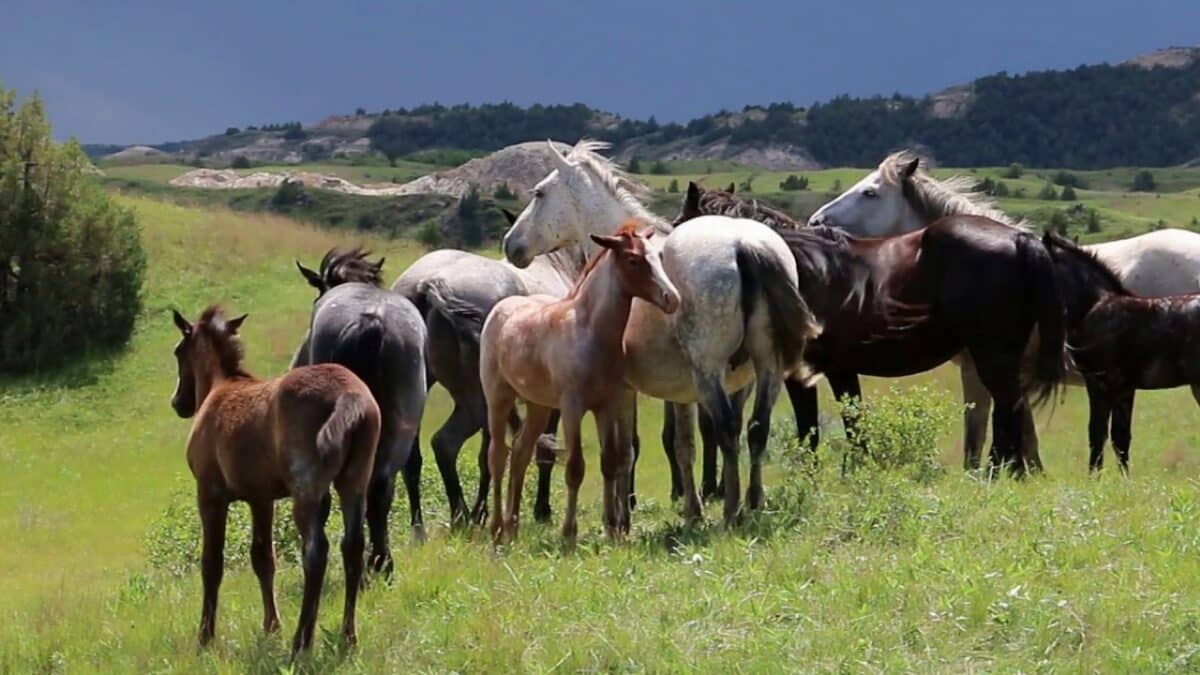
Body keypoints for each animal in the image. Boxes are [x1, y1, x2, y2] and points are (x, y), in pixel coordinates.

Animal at [170, 306, 379, 654]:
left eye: (177, 352)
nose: (178, 403)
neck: (219, 387)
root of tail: (349, 397)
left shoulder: (210, 494)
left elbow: (212, 563)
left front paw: (205, 637)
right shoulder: (262, 498)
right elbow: (263, 559)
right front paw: (271, 626)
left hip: (307, 490)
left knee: (316, 552)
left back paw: (302, 642)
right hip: (355, 482)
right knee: (352, 547)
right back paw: (348, 636)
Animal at [390, 212, 582, 525]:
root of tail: (430, 285)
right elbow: (539, 453)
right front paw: (541, 510)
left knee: (414, 457)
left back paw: (425, 520)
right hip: (477, 401)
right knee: (449, 444)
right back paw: (466, 514)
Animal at [480, 223, 680, 543]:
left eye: (658, 257)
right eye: (633, 260)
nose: (672, 298)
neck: (590, 332)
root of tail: (502, 307)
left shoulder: (605, 405)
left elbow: (609, 461)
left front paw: (611, 530)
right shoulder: (572, 407)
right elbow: (575, 467)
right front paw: (569, 535)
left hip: (538, 406)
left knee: (521, 452)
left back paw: (513, 526)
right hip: (498, 398)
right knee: (498, 455)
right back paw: (498, 530)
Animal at [500, 139, 819, 525]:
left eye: (540, 193)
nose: (511, 244)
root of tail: (744, 245)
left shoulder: (631, 389)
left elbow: (633, 449)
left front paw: (630, 515)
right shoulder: (691, 391)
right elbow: (680, 444)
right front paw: (690, 508)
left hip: (709, 372)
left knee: (728, 431)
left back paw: (732, 510)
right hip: (767, 367)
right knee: (757, 429)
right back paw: (753, 503)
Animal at [675, 182, 1070, 475]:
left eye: (679, 225)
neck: (796, 268)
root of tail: (1019, 240)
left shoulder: (803, 373)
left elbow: (814, 430)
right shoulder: (837, 371)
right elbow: (849, 426)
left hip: (992, 356)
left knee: (1008, 408)